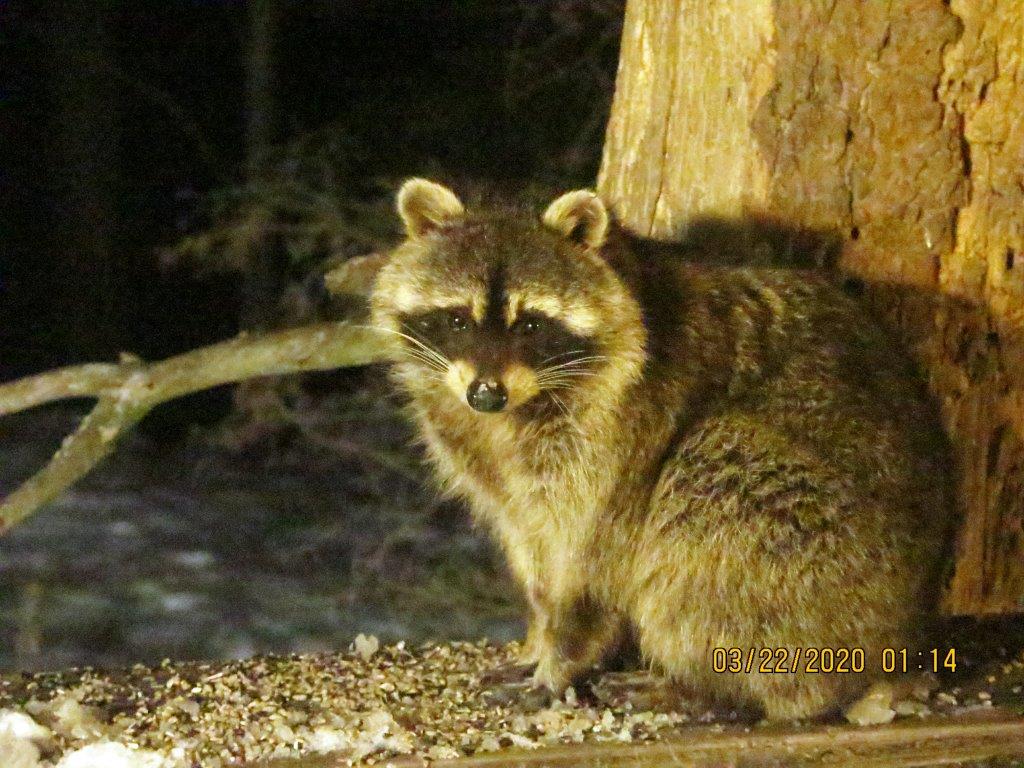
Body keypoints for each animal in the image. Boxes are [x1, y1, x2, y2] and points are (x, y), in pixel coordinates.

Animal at [368, 178, 953, 720]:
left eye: (531, 324)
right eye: (457, 319)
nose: (485, 393)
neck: (515, 411)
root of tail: (900, 639)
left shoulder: (617, 435)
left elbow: (590, 562)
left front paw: (560, 660)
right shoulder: (478, 448)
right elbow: (531, 544)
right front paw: (537, 635)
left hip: (816, 544)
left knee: (703, 507)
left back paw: (708, 687)